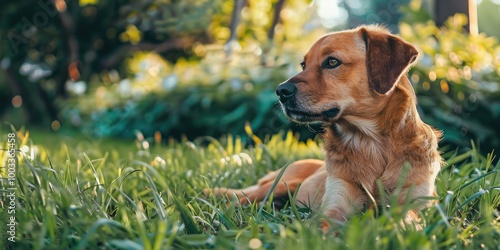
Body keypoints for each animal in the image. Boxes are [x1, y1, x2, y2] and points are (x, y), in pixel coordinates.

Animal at [203, 24, 442, 229]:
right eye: (303, 65)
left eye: (332, 62)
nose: (281, 91)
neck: (371, 144)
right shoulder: (336, 202)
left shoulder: (411, 206)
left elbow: (403, 222)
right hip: (277, 185)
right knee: (235, 201)